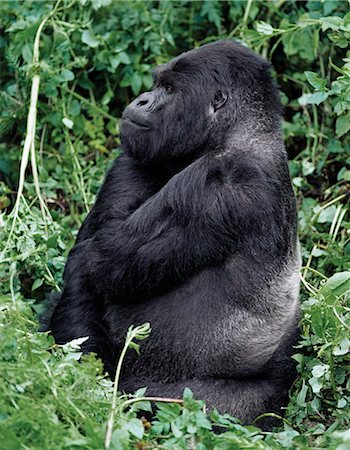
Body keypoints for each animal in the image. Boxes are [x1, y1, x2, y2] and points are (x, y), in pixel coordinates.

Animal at [45, 40, 300, 428]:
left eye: (169, 89)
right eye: (156, 83)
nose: (141, 100)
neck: (246, 136)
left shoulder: (211, 183)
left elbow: (99, 260)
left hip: (228, 405)